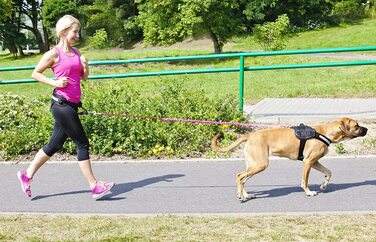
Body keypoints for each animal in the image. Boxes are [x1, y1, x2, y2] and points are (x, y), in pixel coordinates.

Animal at [212, 117, 368, 200]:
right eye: (357, 125)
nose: (367, 130)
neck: (325, 132)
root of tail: (250, 135)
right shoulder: (308, 162)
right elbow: (305, 181)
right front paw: (309, 192)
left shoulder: (315, 162)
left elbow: (329, 172)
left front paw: (324, 185)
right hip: (260, 164)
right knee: (240, 177)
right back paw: (241, 195)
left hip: (254, 164)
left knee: (242, 178)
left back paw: (245, 194)